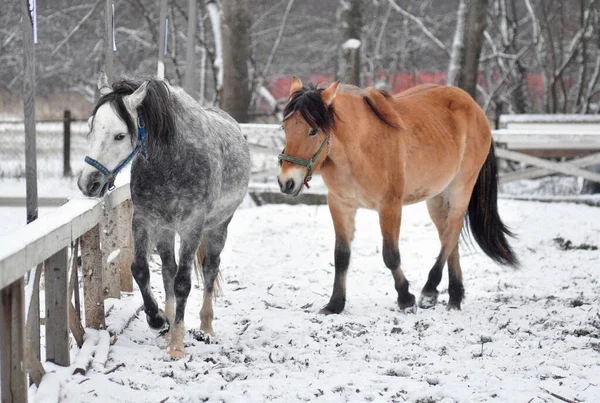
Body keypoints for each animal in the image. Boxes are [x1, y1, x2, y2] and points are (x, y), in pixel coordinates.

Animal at [78, 73, 251, 360]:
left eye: (120, 135)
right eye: (91, 128)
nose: (88, 183)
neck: (171, 161)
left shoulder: (192, 227)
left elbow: (183, 283)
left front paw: (178, 345)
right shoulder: (145, 220)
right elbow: (141, 269)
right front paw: (158, 319)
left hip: (217, 227)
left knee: (210, 268)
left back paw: (205, 328)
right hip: (166, 230)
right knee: (168, 270)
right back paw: (168, 326)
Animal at [276, 77, 516, 314]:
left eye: (313, 130)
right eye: (284, 127)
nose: (286, 182)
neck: (359, 149)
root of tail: (475, 107)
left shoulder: (390, 206)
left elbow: (390, 255)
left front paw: (405, 298)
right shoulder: (340, 204)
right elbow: (341, 255)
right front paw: (335, 304)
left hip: (461, 187)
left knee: (451, 234)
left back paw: (430, 290)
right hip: (437, 197)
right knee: (449, 237)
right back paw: (454, 297)